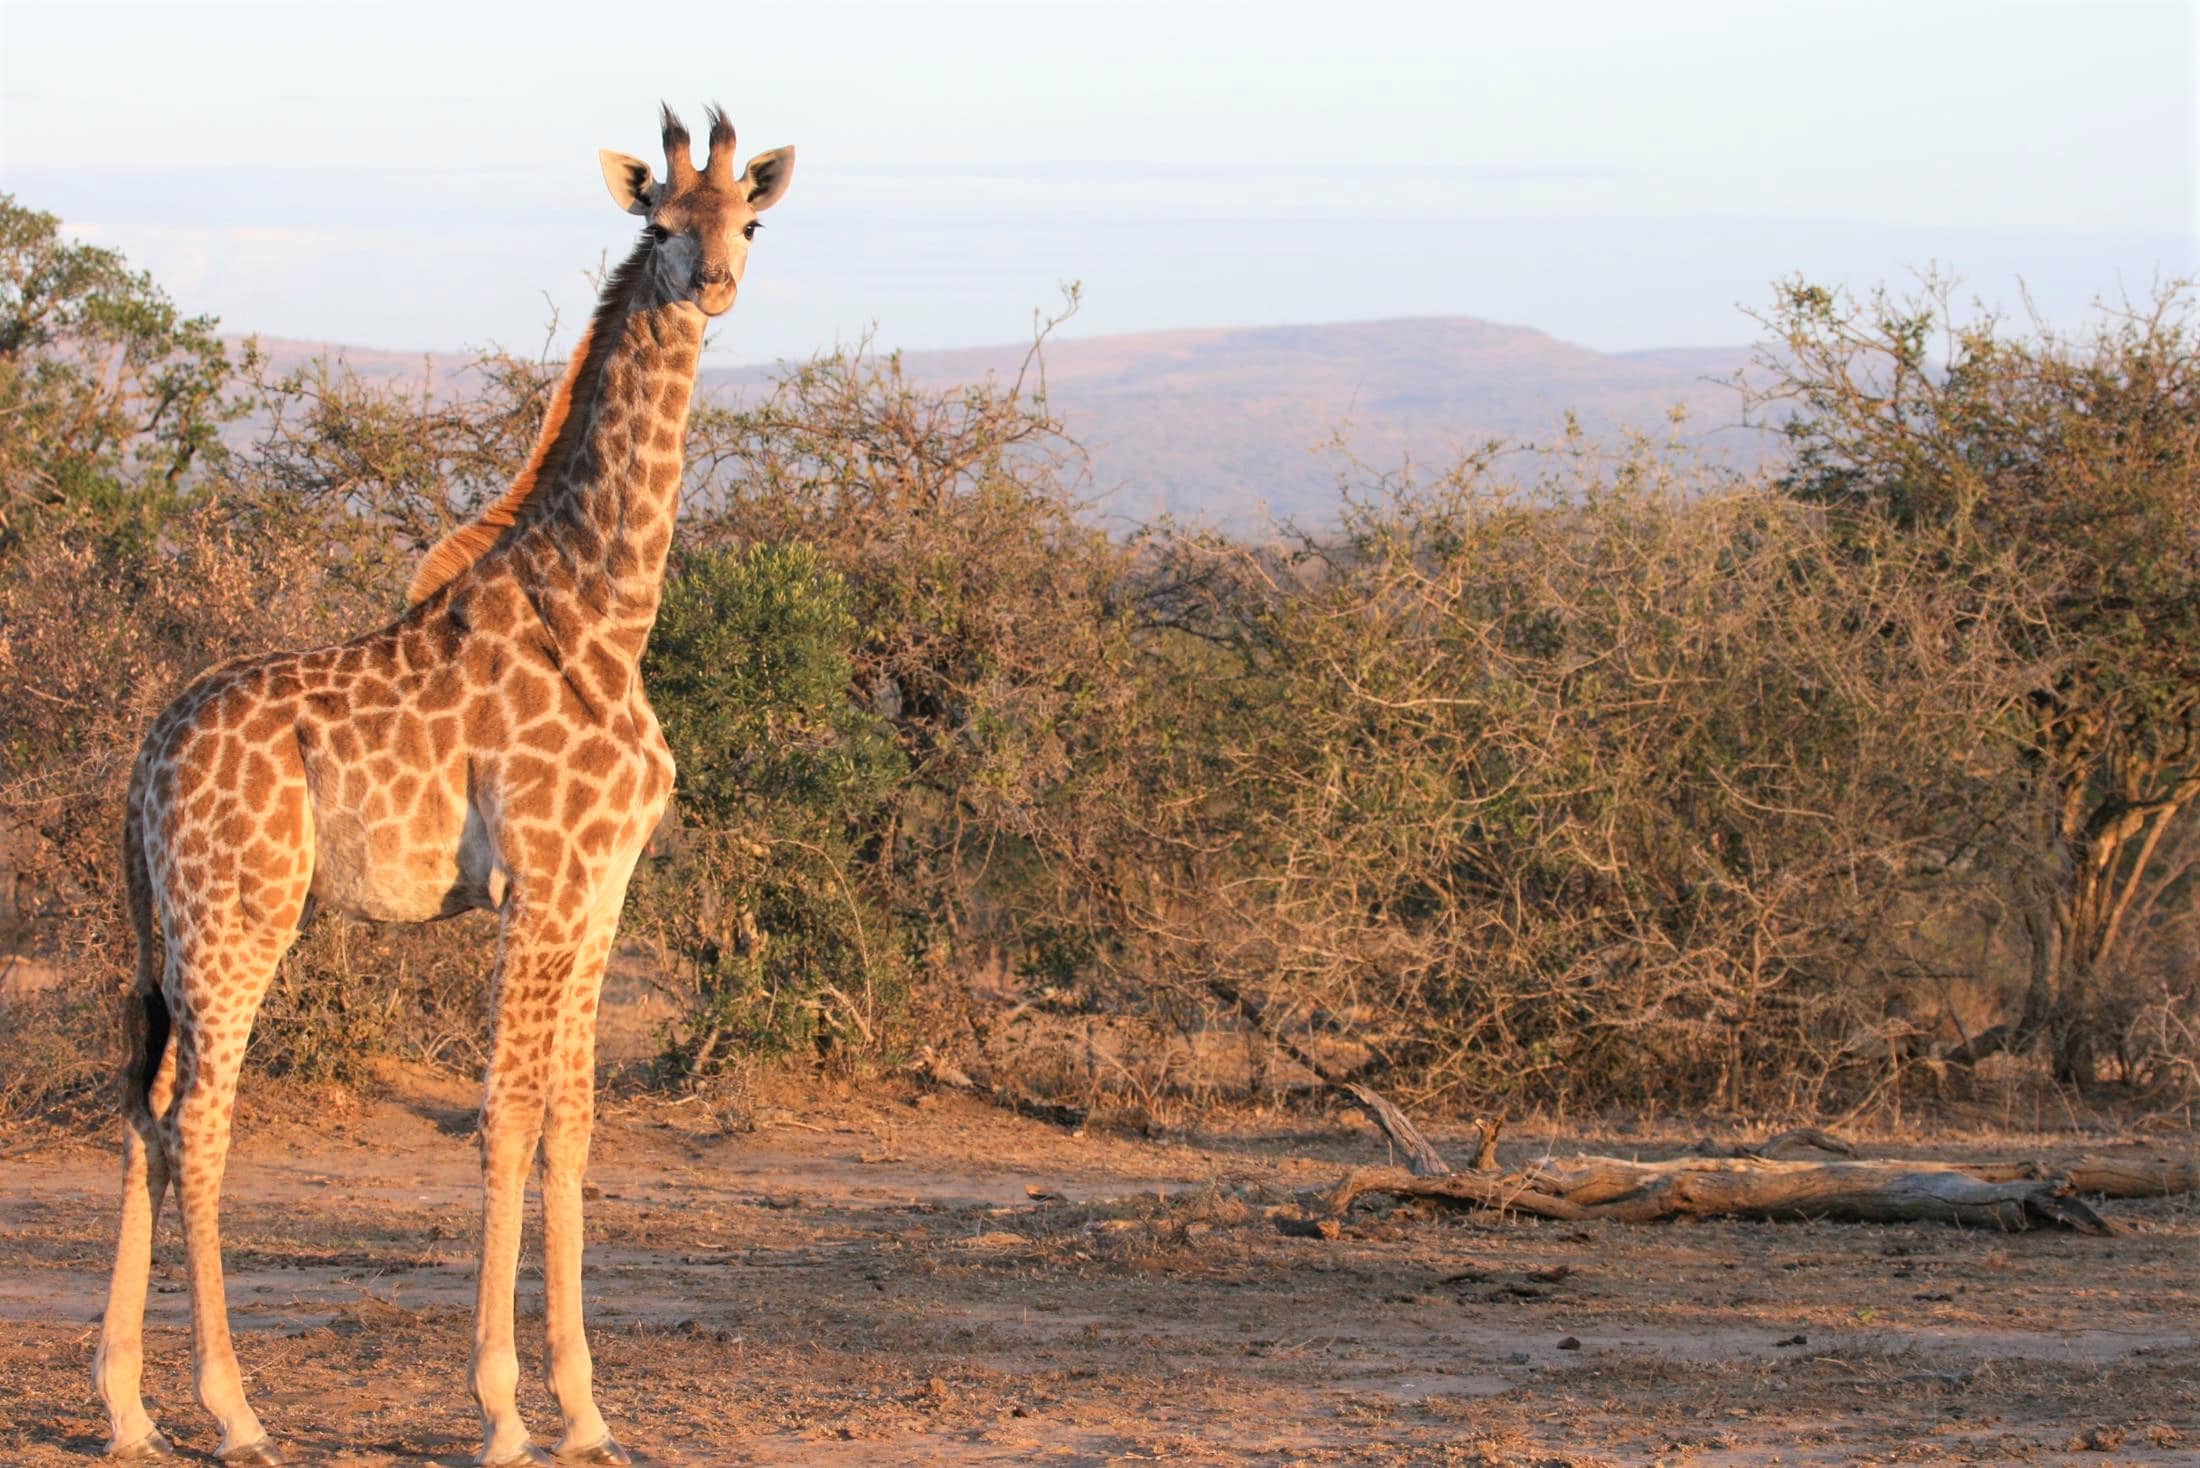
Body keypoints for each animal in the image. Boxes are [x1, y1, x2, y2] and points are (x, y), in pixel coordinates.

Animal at [91, 105, 793, 1467]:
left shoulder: (601, 896)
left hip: (175, 926)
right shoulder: (539, 885)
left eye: (750, 217)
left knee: (143, 1107)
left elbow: (573, 1118)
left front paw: (586, 1410)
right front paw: (504, 1409)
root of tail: (147, 756)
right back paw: (232, 1409)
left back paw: (129, 1409)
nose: (716, 282)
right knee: (199, 1121)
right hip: (239, 913)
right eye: (658, 224)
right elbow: (505, 1117)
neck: (608, 613)